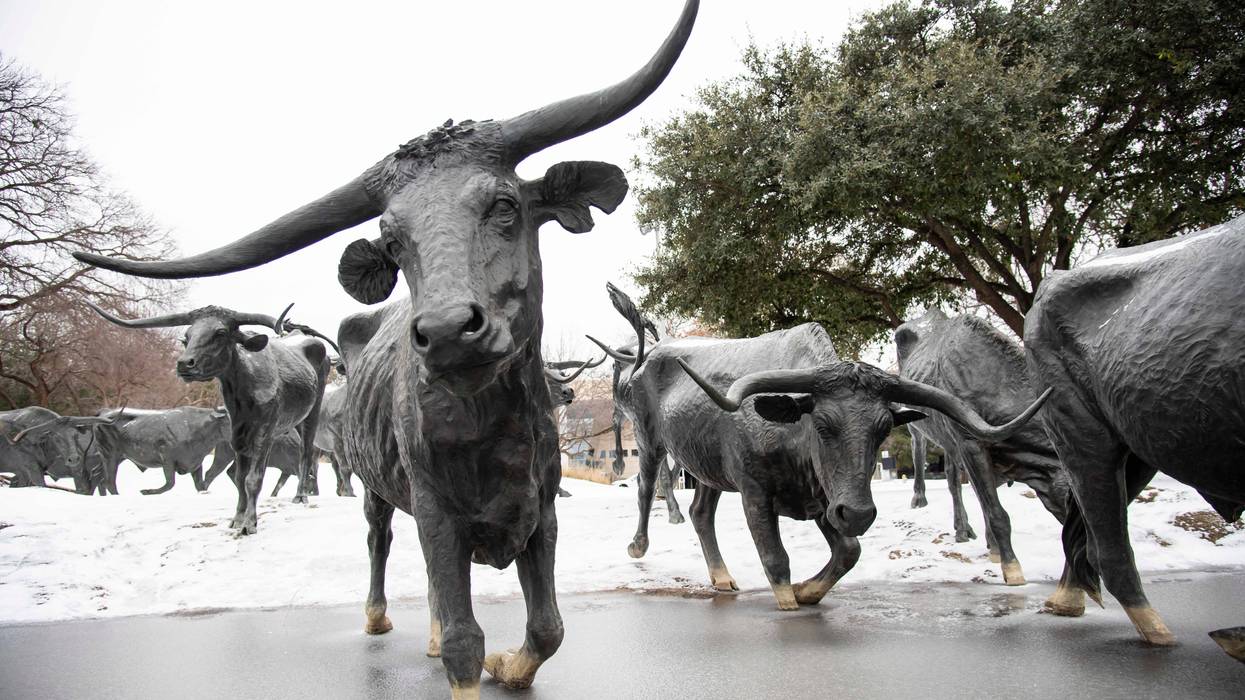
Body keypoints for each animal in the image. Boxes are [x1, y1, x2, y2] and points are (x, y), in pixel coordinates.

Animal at [93, 406, 233, 495]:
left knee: (100, 479)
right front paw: (147, 491)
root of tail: (104, 412)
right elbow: (170, 483)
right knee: (109, 482)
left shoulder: (196, 463)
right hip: (110, 455)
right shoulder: (167, 458)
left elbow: (200, 485)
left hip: (116, 457)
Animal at [895, 309, 1070, 585]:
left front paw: (994, 548)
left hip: (949, 442)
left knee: (953, 480)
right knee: (920, 448)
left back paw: (964, 529)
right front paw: (1011, 566)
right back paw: (921, 499)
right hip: (918, 425)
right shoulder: (971, 445)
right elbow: (996, 511)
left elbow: (983, 498)